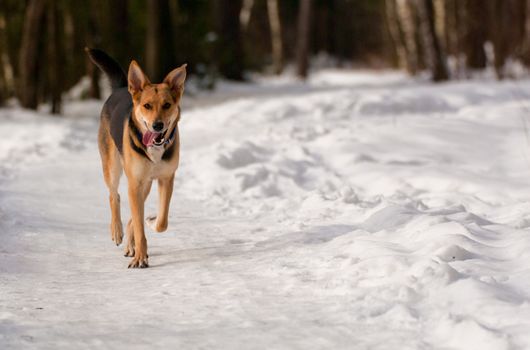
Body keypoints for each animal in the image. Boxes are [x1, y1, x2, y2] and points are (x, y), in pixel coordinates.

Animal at [86, 48, 186, 268]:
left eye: (167, 105)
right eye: (147, 106)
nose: (157, 125)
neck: (155, 148)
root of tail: (122, 87)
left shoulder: (166, 179)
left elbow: (161, 222)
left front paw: (150, 222)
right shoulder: (135, 182)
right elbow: (139, 225)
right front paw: (140, 257)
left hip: (145, 183)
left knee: (133, 211)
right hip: (113, 167)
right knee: (114, 196)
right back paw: (117, 230)